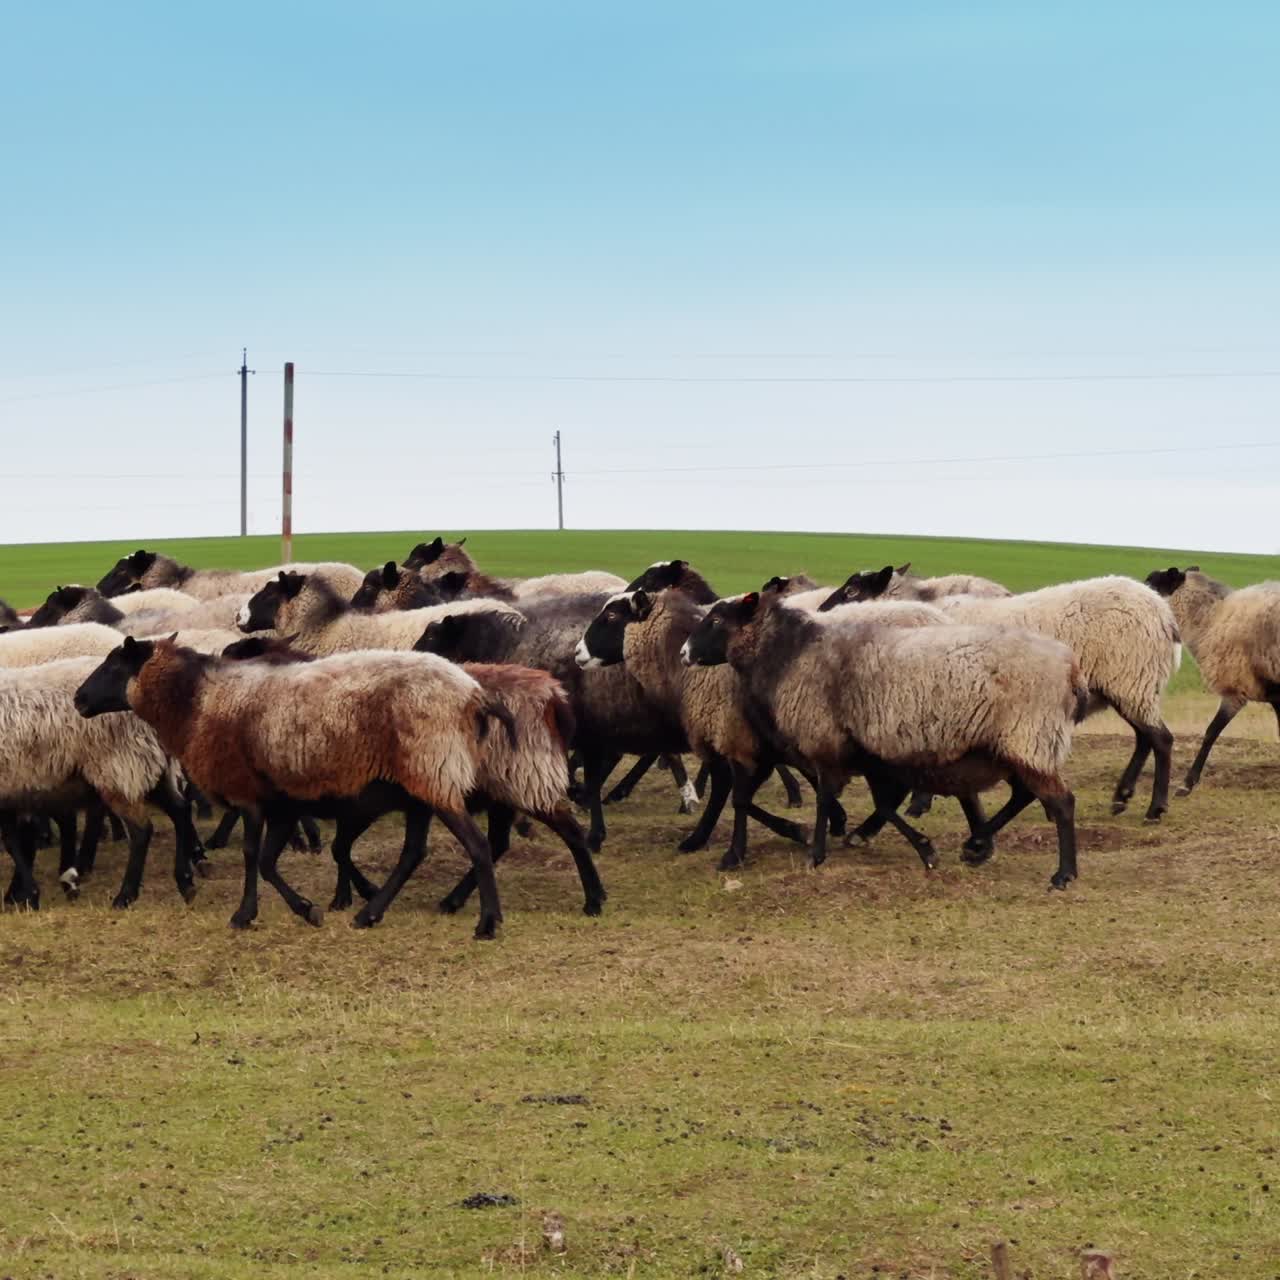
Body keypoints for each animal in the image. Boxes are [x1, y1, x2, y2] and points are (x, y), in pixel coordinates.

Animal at [1, 657, 196, 910]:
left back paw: (125, 895)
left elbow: (14, 843)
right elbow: (18, 841)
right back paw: (185, 881)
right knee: (180, 811)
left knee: (142, 830)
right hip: (149, 765)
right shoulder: (15, 791)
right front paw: (21, 893)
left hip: (119, 767)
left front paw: (28, 894)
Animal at [75, 636, 508, 938]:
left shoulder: (249, 794)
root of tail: (473, 694)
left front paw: (244, 914)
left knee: (477, 846)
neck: (197, 701)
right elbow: (267, 861)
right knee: (413, 853)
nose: (78, 699)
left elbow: (252, 856)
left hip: (436, 771)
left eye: (113, 666)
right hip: (419, 787)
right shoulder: (282, 801)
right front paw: (305, 908)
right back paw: (369, 913)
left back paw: (488, 923)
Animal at [575, 589, 809, 869]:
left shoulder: (729, 734)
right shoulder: (725, 740)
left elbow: (734, 794)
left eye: (611, 616)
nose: (577, 652)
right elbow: (733, 791)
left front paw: (729, 851)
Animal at [682, 592, 1088, 887]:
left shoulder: (824, 741)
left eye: (716, 621)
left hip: (1028, 737)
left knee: (1061, 801)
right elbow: (884, 803)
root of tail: (1070, 666)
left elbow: (827, 797)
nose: (684, 654)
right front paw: (924, 850)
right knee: (1023, 794)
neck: (790, 655)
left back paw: (1063, 874)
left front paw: (816, 852)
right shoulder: (864, 751)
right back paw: (976, 844)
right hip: (1015, 744)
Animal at [823, 567, 1181, 822]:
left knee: (1160, 739)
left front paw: (918, 804)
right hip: (1132, 685)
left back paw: (1155, 808)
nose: (822, 612)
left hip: (1132, 679)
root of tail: (1163, 612)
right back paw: (1122, 796)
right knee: (1145, 738)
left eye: (852, 590)